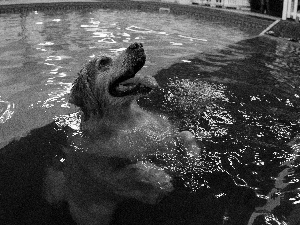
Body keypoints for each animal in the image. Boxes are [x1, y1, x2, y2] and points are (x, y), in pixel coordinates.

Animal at [45, 42, 202, 225]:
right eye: (103, 62)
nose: (137, 44)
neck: (129, 120)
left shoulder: (168, 133)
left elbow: (186, 134)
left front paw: (193, 155)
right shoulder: (106, 175)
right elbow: (135, 168)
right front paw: (159, 176)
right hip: (93, 213)